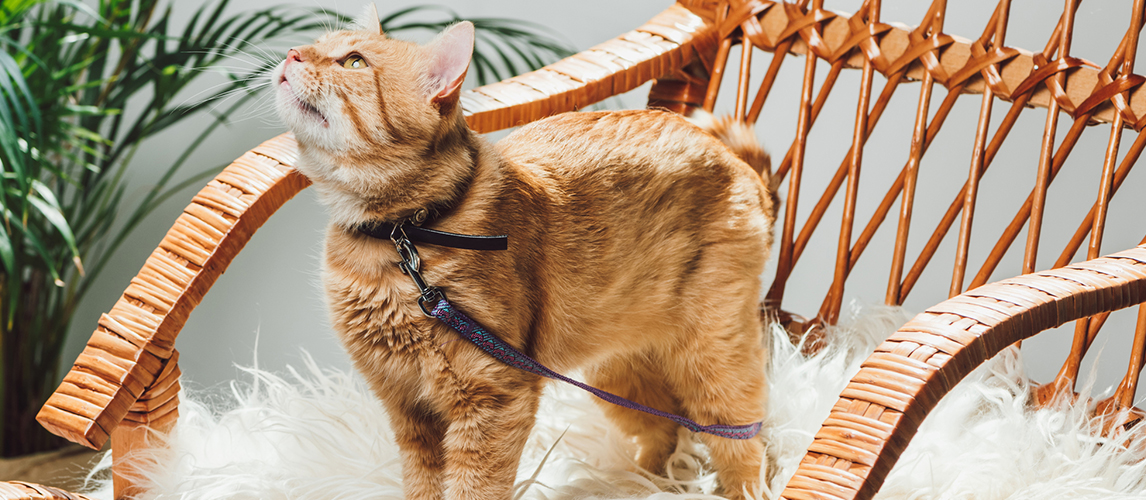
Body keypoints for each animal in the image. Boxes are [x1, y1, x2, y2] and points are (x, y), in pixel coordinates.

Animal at [275, 7, 779, 499]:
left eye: (353, 62)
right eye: (317, 46)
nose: (292, 53)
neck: (400, 236)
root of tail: (735, 161)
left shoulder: (493, 398)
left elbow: (474, 488)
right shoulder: (409, 409)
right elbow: (422, 486)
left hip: (712, 360)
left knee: (746, 440)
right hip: (619, 371)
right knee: (666, 433)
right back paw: (638, 485)